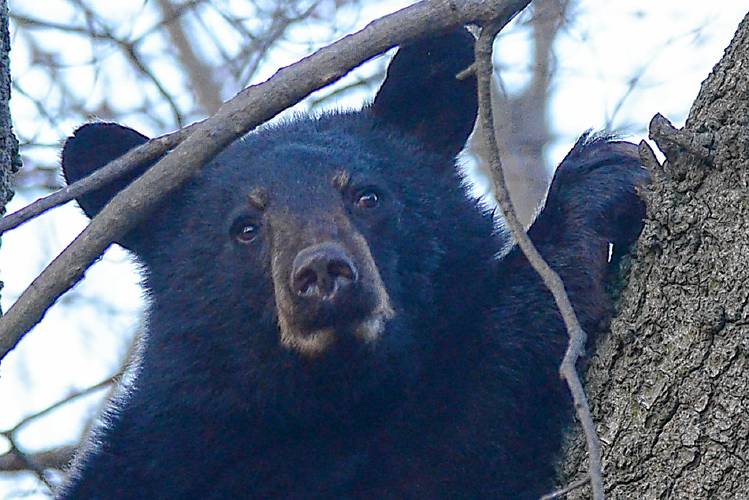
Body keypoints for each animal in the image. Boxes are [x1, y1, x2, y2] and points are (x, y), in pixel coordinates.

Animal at [58, 29, 644, 498]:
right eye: (245, 227)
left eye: (367, 196)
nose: (322, 272)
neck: (336, 395)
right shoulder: (206, 462)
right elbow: (445, 448)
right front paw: (586, 200)